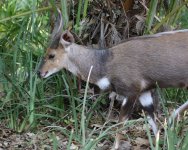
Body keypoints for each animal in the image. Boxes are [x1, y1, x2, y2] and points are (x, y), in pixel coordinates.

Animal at [37, 9, 188, 149]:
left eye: (51, 55)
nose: (39, 73)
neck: (105, 62)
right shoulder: (144, 92)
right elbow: (153, 122)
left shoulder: (131, 91)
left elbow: (121, 123)